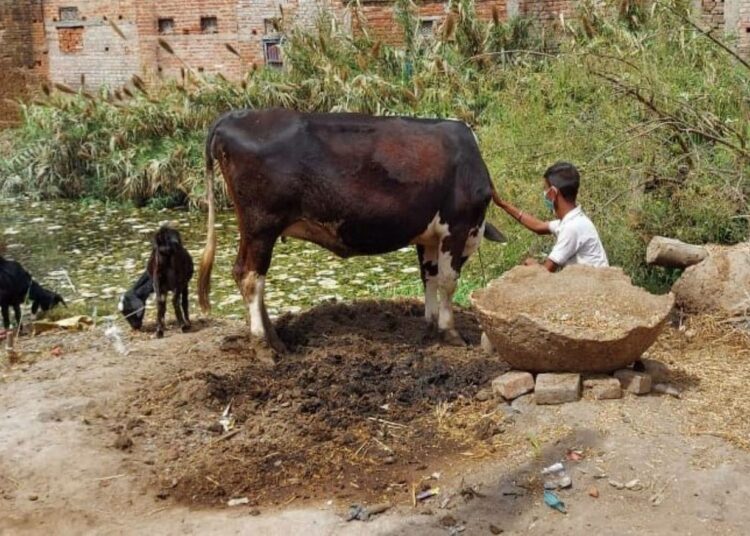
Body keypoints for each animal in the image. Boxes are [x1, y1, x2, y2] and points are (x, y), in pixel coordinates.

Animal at [198, 108, 506, 354]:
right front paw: (450, 332)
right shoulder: (457, 226)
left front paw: (430, 326)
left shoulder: (429, 236)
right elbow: (447, 281)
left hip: (252, 229)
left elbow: (428, 277)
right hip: (262, 225)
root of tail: (235, 116)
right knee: (252, 277)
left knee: (244, 272)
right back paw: (263, 345)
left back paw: (276, 340)